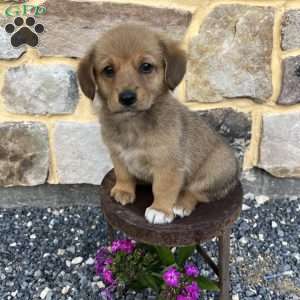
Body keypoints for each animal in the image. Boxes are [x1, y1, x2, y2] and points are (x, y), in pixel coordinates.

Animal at [77, 23, 239, 224]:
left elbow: (163, 188)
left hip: (213, 170)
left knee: (196, 193)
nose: (127, 98)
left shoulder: (168, 165)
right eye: (108, 70)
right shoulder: (117, 154)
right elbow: (123, 174)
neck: (132, 123)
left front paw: (160, 210)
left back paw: (180, 205)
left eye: (146, 67)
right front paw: (123, 190)